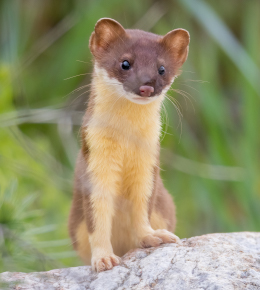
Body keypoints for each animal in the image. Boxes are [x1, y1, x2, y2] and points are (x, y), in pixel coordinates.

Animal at [68, 18, 190, 272]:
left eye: (162, 68)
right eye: (125, 63)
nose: (147, 85)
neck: (126, 140)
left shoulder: (149, 160)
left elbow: (143, 204)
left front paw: (153, 236)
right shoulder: (94, 157)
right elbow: (97, 215)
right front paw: (103, 258)